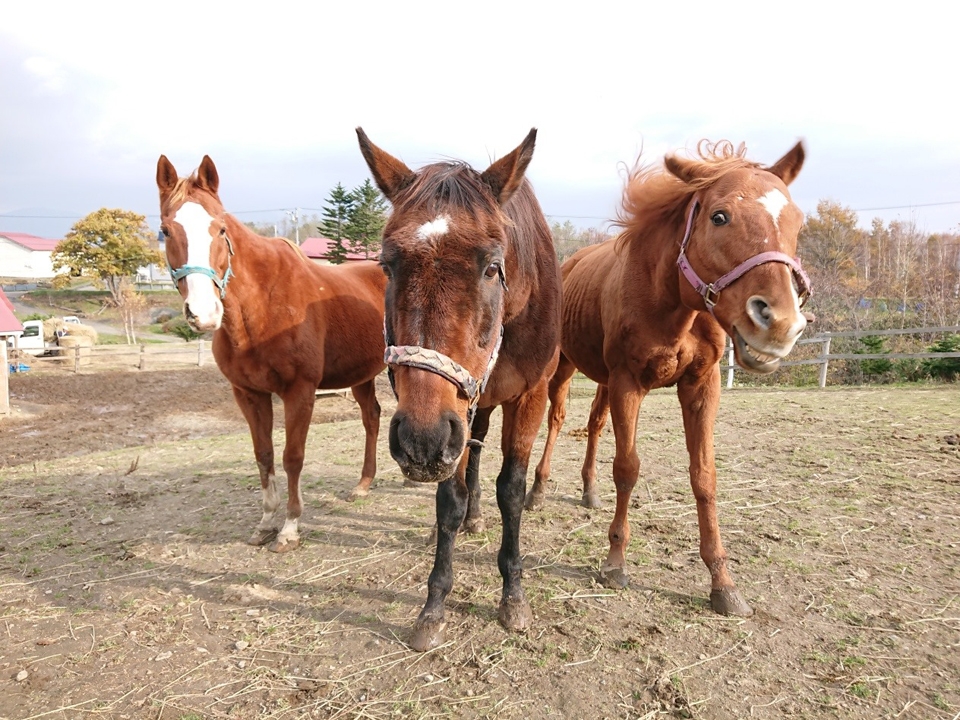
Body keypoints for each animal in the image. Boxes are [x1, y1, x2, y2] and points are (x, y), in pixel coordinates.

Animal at [154, 156, 386, 552]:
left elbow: (292, 457)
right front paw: (265, 523)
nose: (204, 313)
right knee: (371, 418)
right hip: (362, 374)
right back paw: (363, 484)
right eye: (166, 231)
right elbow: (264, 456)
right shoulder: (249, 394)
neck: (261, 306)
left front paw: (290, 527)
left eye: (220, 229)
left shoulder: (300, 392)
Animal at [356, 128, 560, 652]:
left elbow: (512, 490)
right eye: (387, 265)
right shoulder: (447, 418)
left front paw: (512, 593)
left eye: (491, 266)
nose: (420, 442)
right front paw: (434, 603)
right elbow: (449, 497)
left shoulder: (530, 396)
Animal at [528, 142, 812, 620]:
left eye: (797, 221)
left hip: (603, 379)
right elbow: (627, 468)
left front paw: (723, 582)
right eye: (719, 216)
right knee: (556, 419)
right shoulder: (629, 383)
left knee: (594, 423)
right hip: (563, 366)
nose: (779, 324)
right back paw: (538, 489)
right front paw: (615, 562)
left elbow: (704, 477)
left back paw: (589, 490)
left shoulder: (700, 385)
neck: (670, 299)